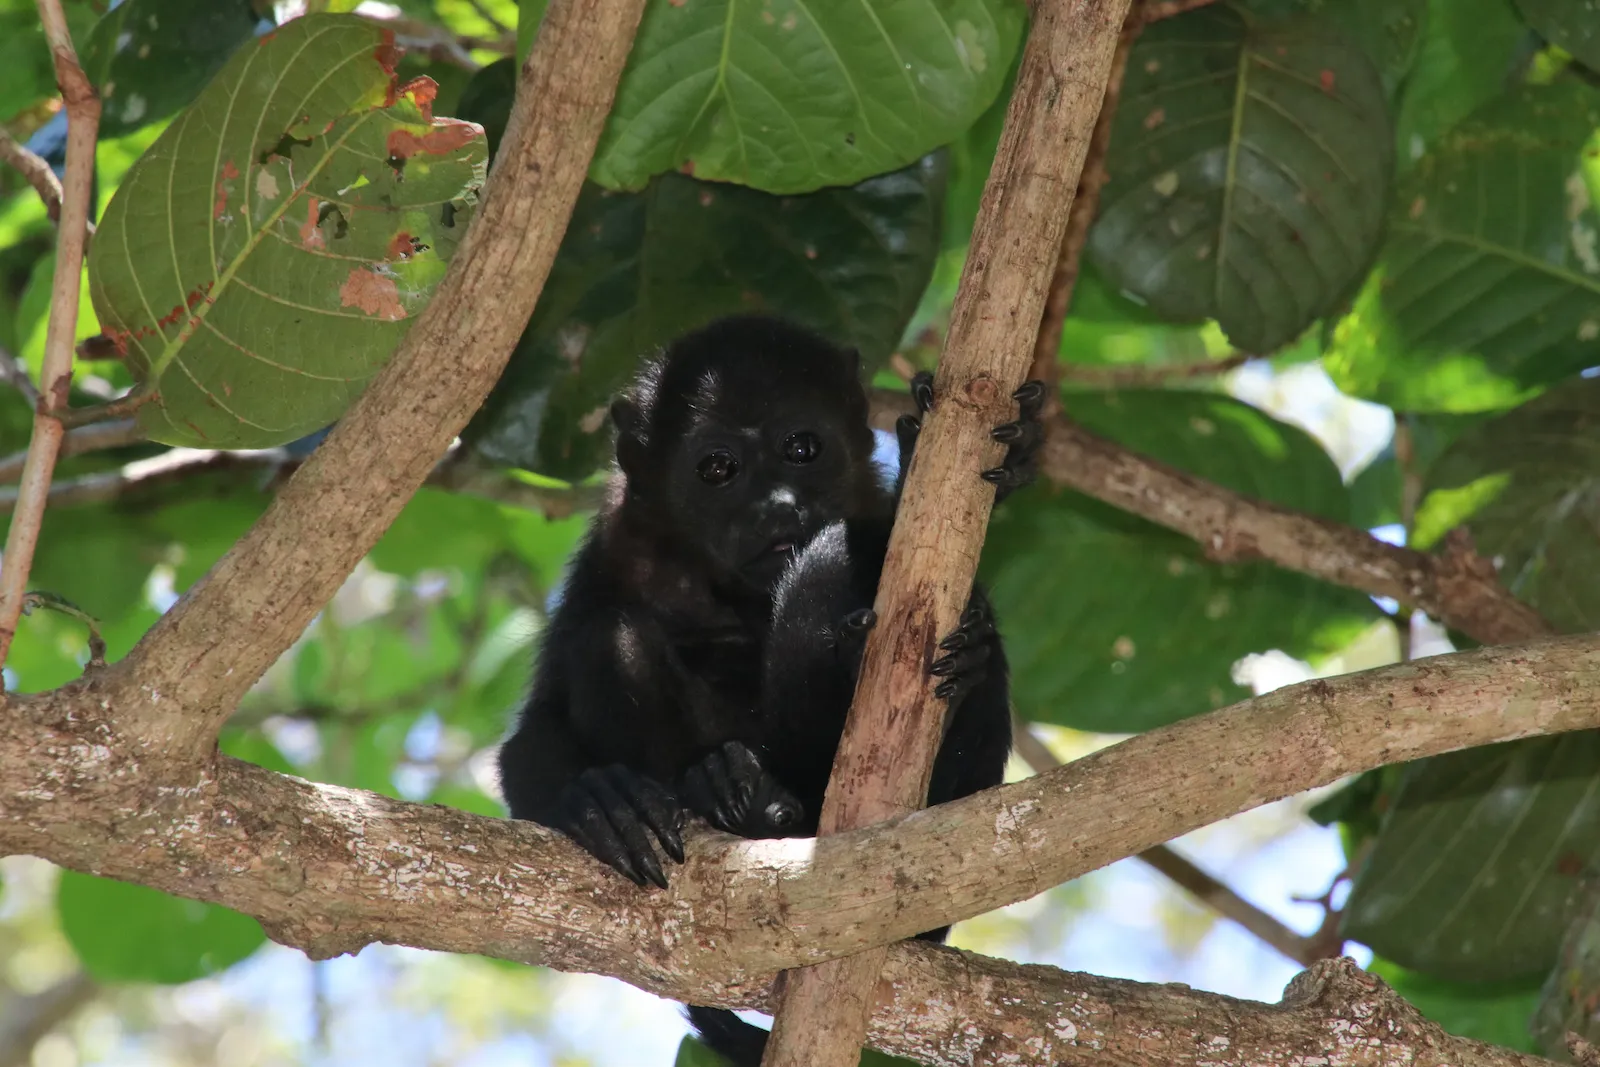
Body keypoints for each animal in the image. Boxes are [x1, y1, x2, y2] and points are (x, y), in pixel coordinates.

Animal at [493, 314, 1042, 1065]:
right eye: (717, 468)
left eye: (801, 448)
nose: (778, 506)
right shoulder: (613, 546)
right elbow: (531, 738)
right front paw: (596, 799)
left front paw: (1010, 456)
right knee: (612, 637)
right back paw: (733, 793)